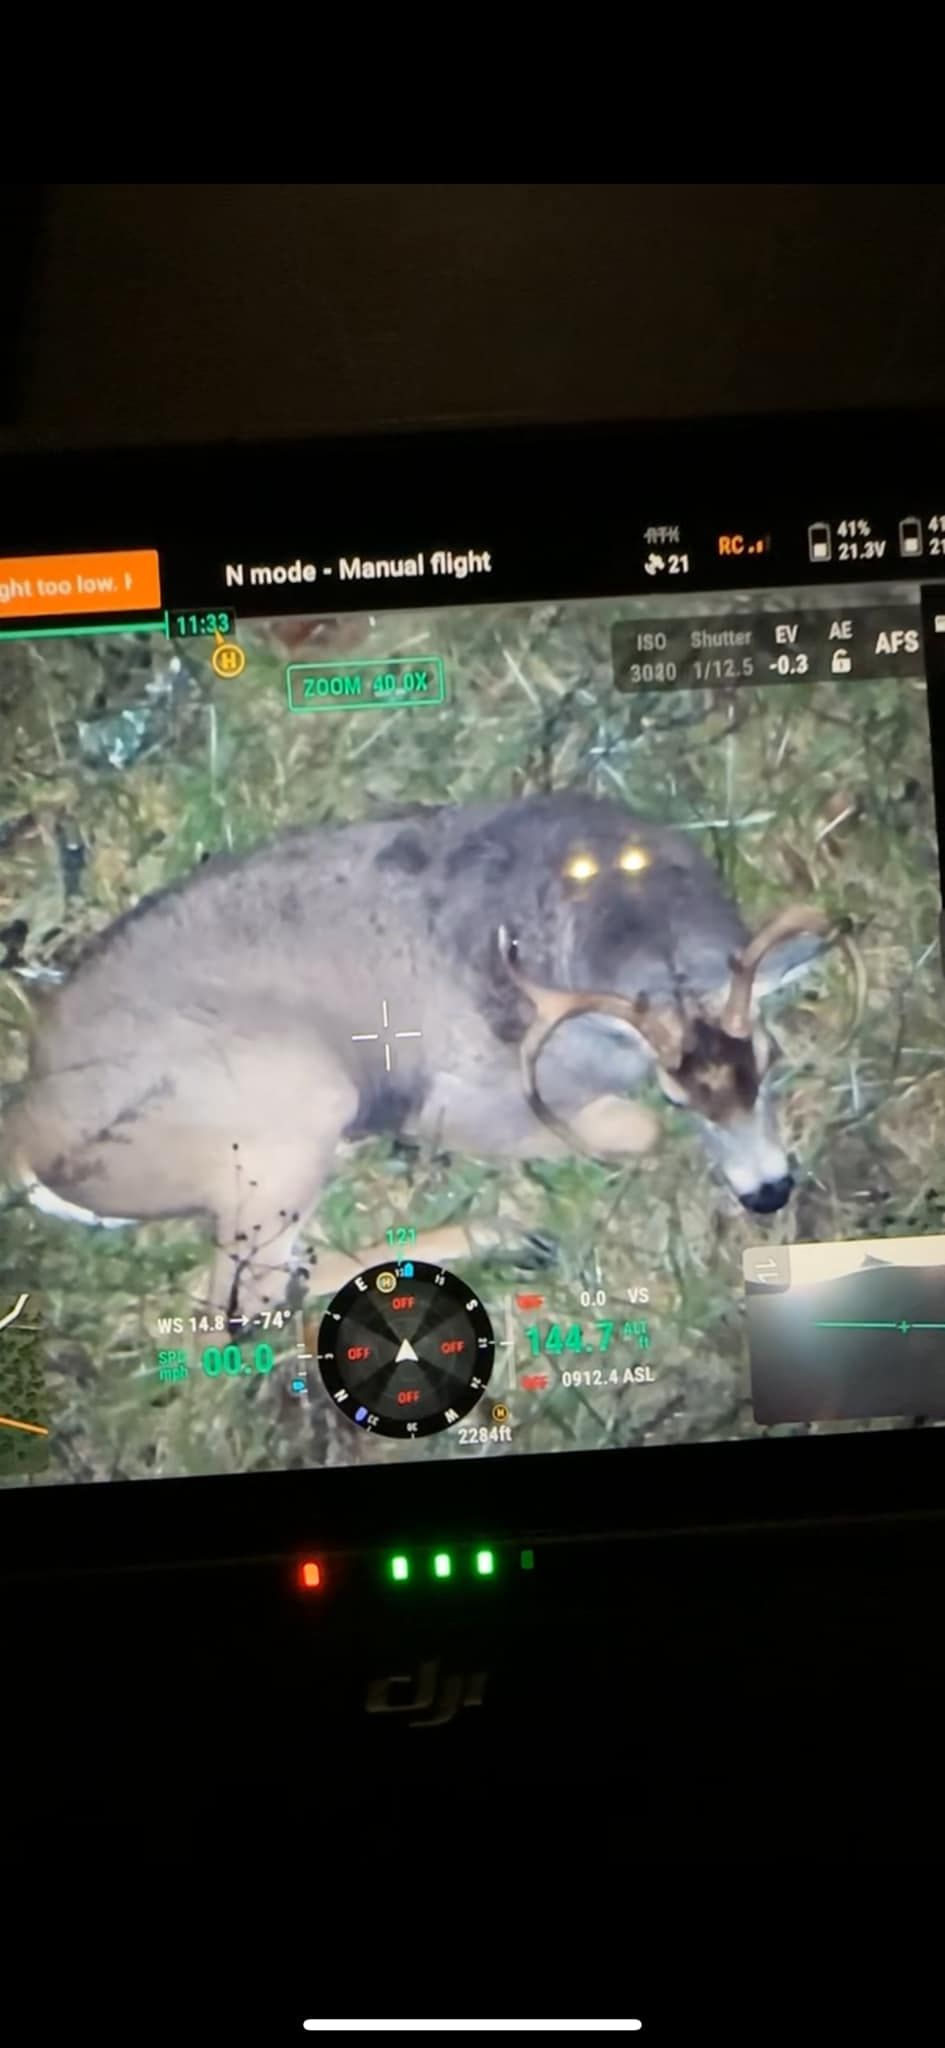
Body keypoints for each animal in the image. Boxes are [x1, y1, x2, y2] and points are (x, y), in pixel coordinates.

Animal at [1, 792, 858, 1318]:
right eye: (677, 1096)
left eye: (769, 1060)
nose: (769, 1192)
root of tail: (28, 1136)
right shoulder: (463, 1099)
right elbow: (631, 1131)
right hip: (288, 1100)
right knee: (231, 1308)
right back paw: (510, 1237)